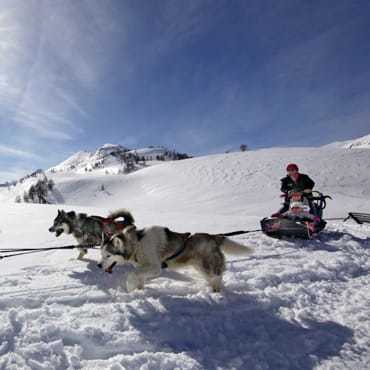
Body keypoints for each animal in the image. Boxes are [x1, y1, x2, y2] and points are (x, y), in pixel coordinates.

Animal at [99, 224, 253, 294]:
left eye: (108, 255)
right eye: (101, 254)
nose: (99, 266)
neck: (137, 244)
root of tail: (213, 236)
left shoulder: (155, 267)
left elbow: (132, 274)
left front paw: (130, 287)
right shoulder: (144, 267)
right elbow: (139, 277)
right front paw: (139, 290)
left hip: (207, 265)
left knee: (217, 277)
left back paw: (216, 292)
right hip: (200, 267)